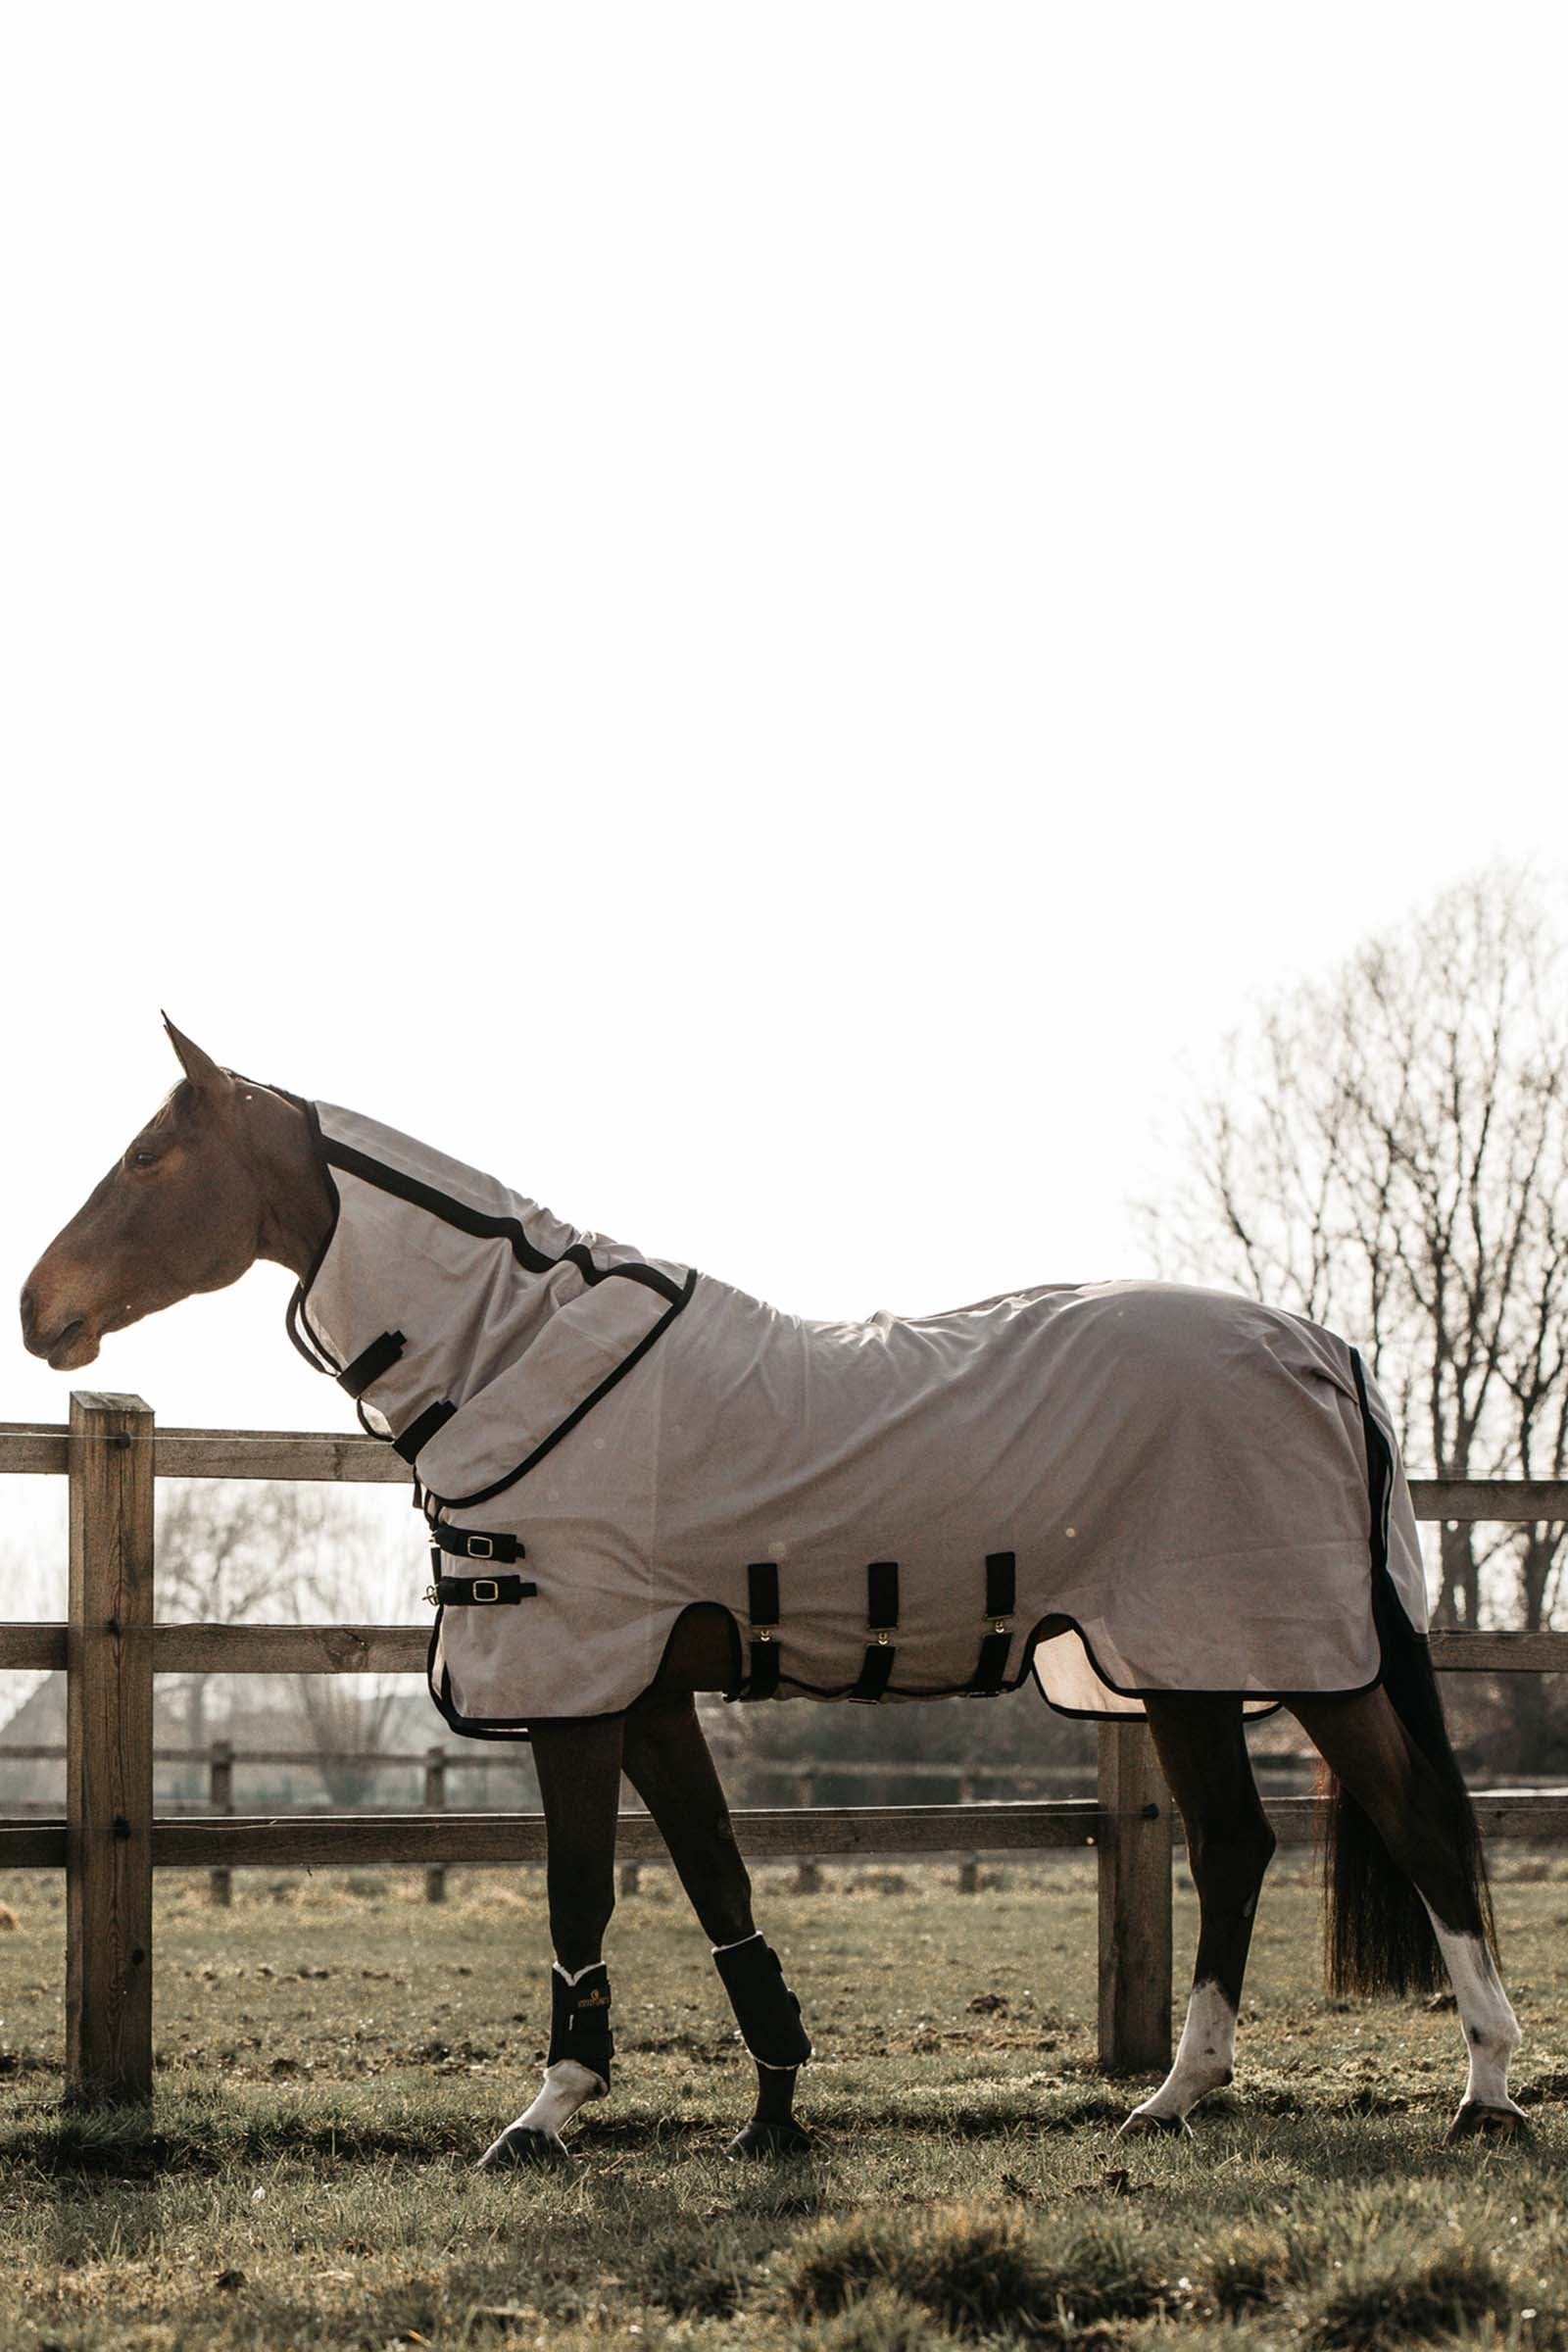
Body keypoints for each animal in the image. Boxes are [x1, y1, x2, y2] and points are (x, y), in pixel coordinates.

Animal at [19, 1019, 1524, 2161]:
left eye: (151, 1154)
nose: (41, 1310)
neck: (521, 1351)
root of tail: (1324, 1345)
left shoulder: (577, 1693)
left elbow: (582, 1891)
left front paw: (548, 2115)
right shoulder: (648, 1697)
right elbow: (715, 1880)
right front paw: (776, 2106)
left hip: (1284, 1655)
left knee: (1422, 1834)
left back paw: (1483, 2095)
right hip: (1184, 1671)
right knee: (1238, 1845)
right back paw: (1176, 2096)